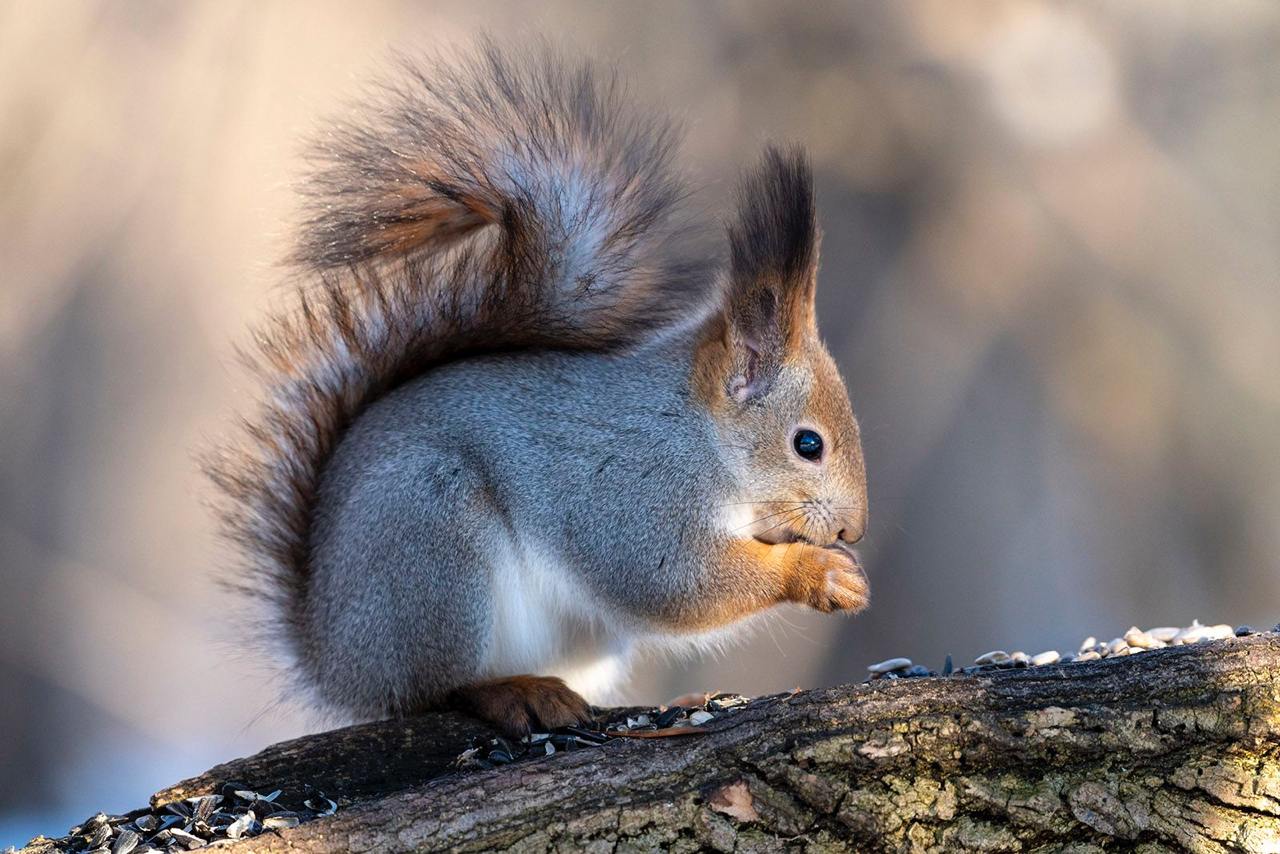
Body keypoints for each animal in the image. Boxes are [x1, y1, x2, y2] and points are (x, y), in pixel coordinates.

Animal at [209, 41, 870, 737]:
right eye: (807, 444)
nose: (853, 531)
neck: (696, 433)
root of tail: (330, 657)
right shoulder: (629, 491)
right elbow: (674, 583)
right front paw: (820, 572)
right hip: (430, 541)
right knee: (430, 687)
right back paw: (511, 691)